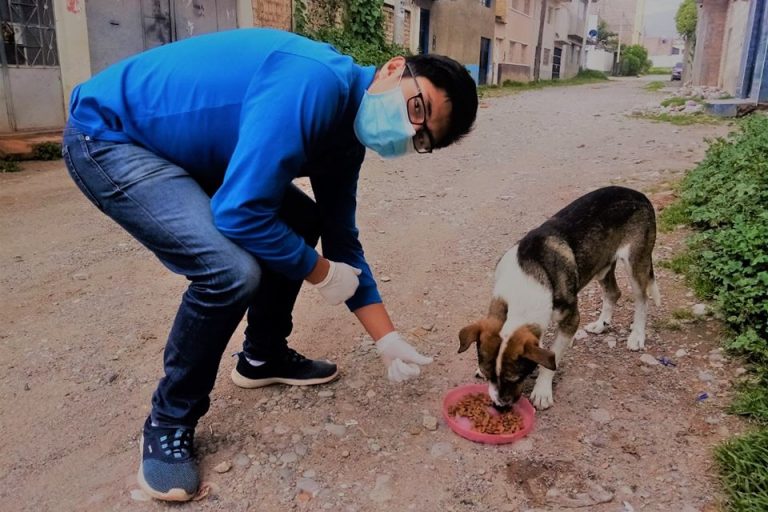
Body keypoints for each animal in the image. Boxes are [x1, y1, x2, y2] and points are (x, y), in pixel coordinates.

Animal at [458, 186, 660, 410]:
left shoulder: (571, 318)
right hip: (601, 265)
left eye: (515, 378)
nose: (500, 405)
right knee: (613, 293)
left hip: (635, 261)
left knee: (642, 299)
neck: (526, 281)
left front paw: (542, 391)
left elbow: (551, 360)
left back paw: (637, 336)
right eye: (488, 376)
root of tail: (637, 193)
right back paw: (601, 325)